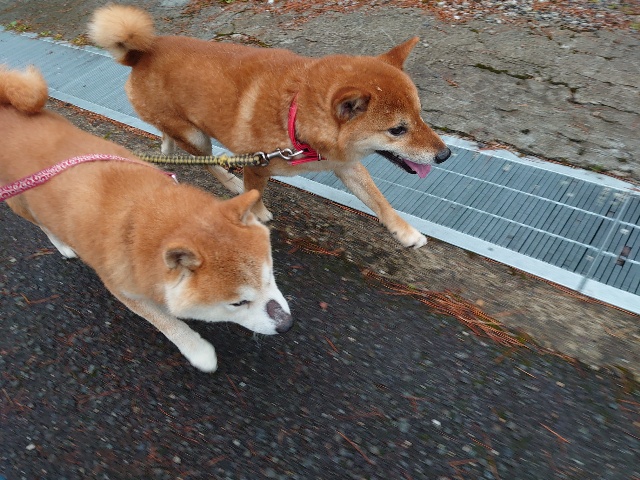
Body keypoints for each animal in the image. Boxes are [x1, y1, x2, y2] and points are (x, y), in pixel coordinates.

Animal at [0, 65, 292, 372]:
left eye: (269, 276)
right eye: (238, 303)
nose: (287, 325)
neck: (139, 212)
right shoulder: (122, 288)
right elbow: (166, 322)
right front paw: (198, 350)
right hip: (19, 199)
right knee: (43, 224)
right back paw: (64, 246)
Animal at [88, 4, 451, 249]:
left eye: (420, 116)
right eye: (397, 130)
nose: (445, 155)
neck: (294, 118)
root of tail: (140, 55)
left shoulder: (347, 165)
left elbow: (380, 201)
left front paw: (405, 232)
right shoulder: (257, 164)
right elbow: (254, 194)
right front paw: (255, 213)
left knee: (169, 135)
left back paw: (165, 148)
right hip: (197, 135)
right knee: (207, 162)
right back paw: (229, 182)